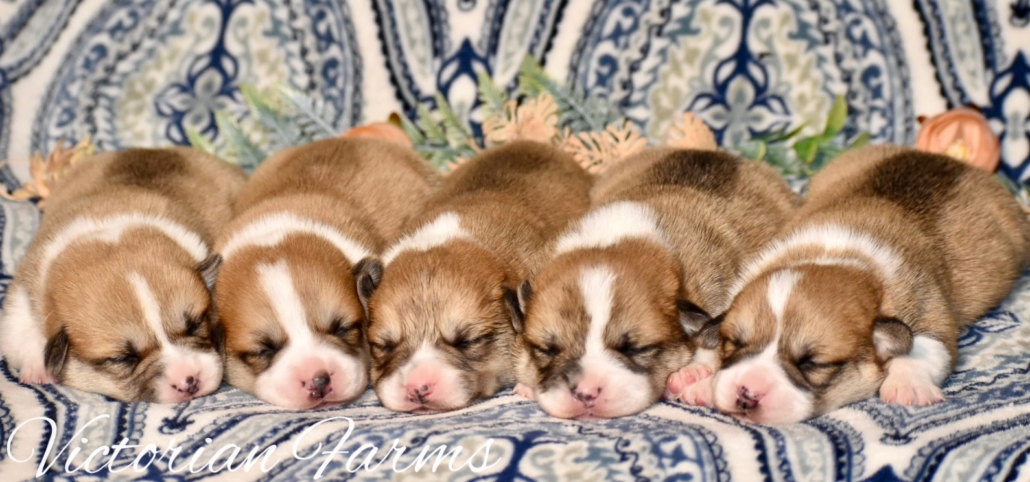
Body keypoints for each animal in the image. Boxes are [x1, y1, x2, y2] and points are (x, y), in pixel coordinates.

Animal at [0, 148, 246, 403]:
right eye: (124, 358)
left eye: (195, 326)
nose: (189, 380)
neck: (111, 234)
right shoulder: (22, 296)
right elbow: (22, 331)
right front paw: (38, 369)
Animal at [677, 146, 1030, 424]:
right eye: (734, 343)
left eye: (813, 363)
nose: (746, 393)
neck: (832, 256)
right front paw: (698, 378)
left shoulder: (929, 310)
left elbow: (923, 345)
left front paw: (908, 385)